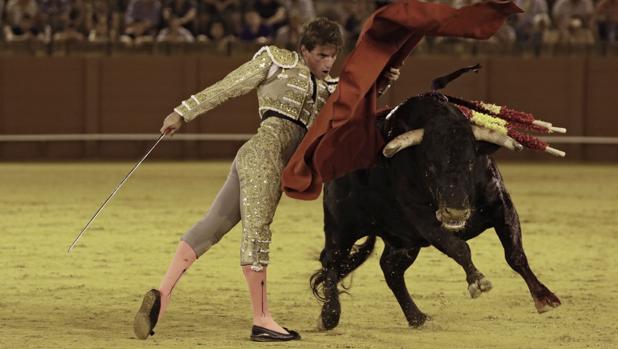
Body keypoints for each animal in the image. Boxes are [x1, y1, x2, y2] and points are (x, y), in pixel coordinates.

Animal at [310, 92, 560, 328]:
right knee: (332, 261)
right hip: (341, 227)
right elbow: (459, 247)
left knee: (390, 269)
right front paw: (477, 281)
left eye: (471, 162)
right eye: (429, 165)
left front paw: (544, 298)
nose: (455, 212)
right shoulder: (423, 220)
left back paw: (416, 317)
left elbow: (515, 254)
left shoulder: (501, 204)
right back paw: (329, 316)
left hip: (405, 240)